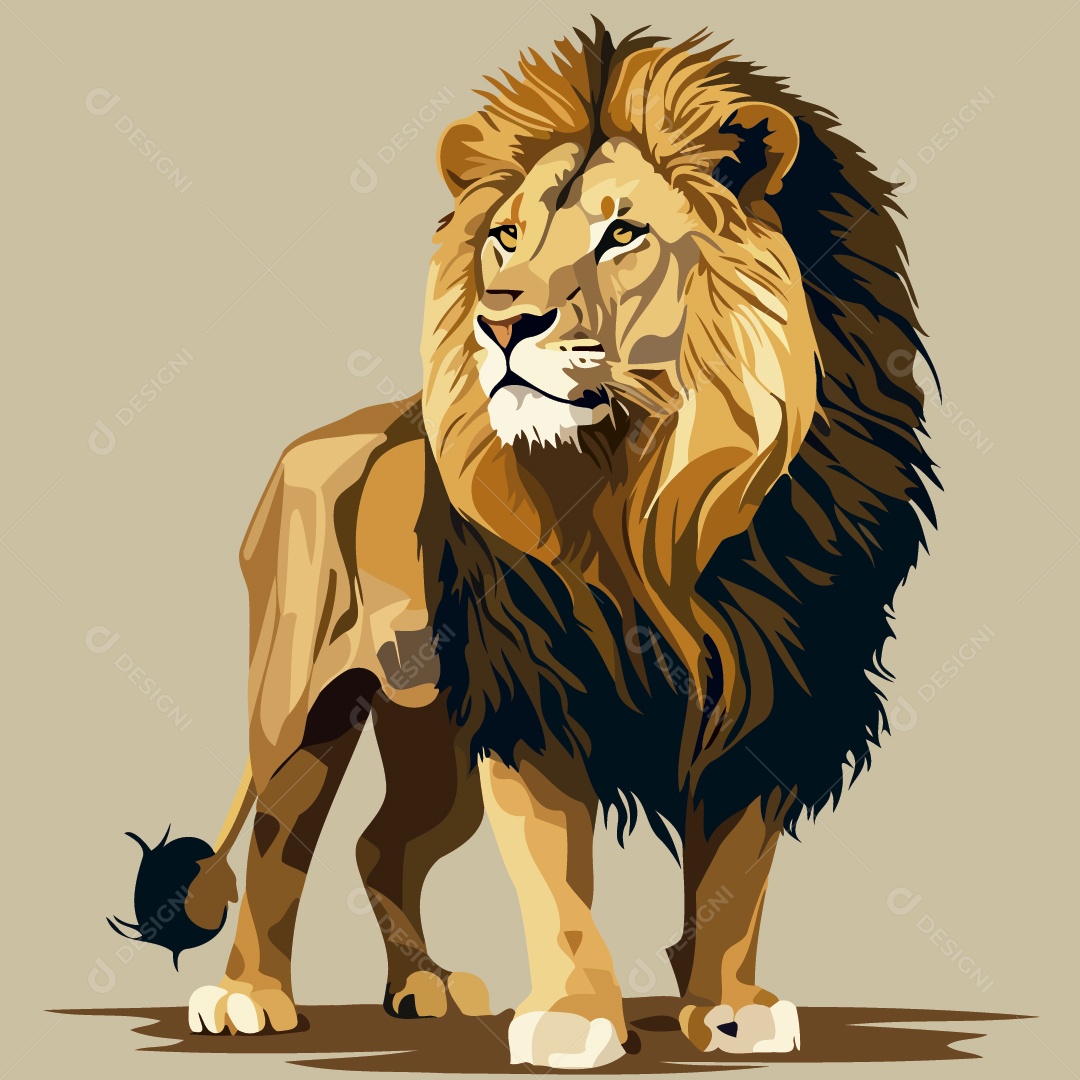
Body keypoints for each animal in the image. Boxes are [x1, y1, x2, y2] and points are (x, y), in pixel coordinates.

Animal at [179, 23, 937, 1067]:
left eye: (622, 234)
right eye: (507, 236)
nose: (500, 318)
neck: (646, 500)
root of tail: (315, 440)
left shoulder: (776, 690)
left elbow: (735, 874)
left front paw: (729, 1007)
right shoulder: (536, 692)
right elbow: (555, 877)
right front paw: (577, 1018)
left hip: (431, 734)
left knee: (382, 843)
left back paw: (420, 986)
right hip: (299, 704)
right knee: (278, 845)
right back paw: (249, 996)